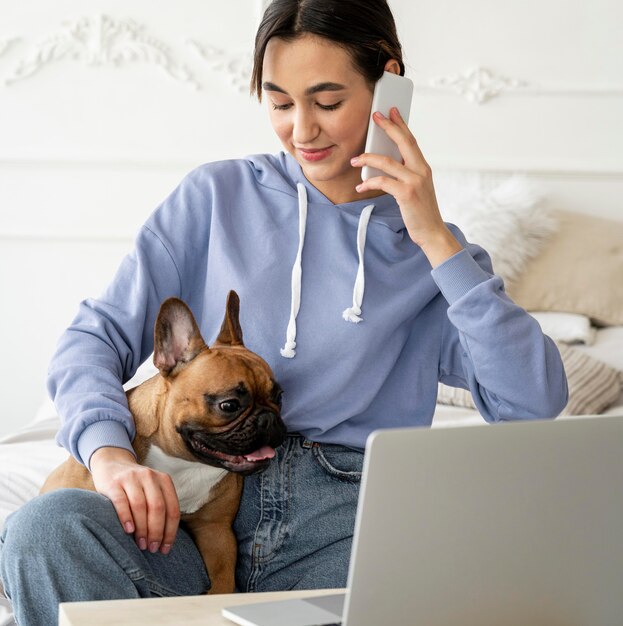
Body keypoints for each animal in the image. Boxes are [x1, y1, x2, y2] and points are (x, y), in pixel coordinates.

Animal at [41, 290, 288, 592]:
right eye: (229, 405)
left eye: (279, 397)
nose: (269, 419)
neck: (183, 463)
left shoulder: (217, 532)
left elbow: (222, 580)